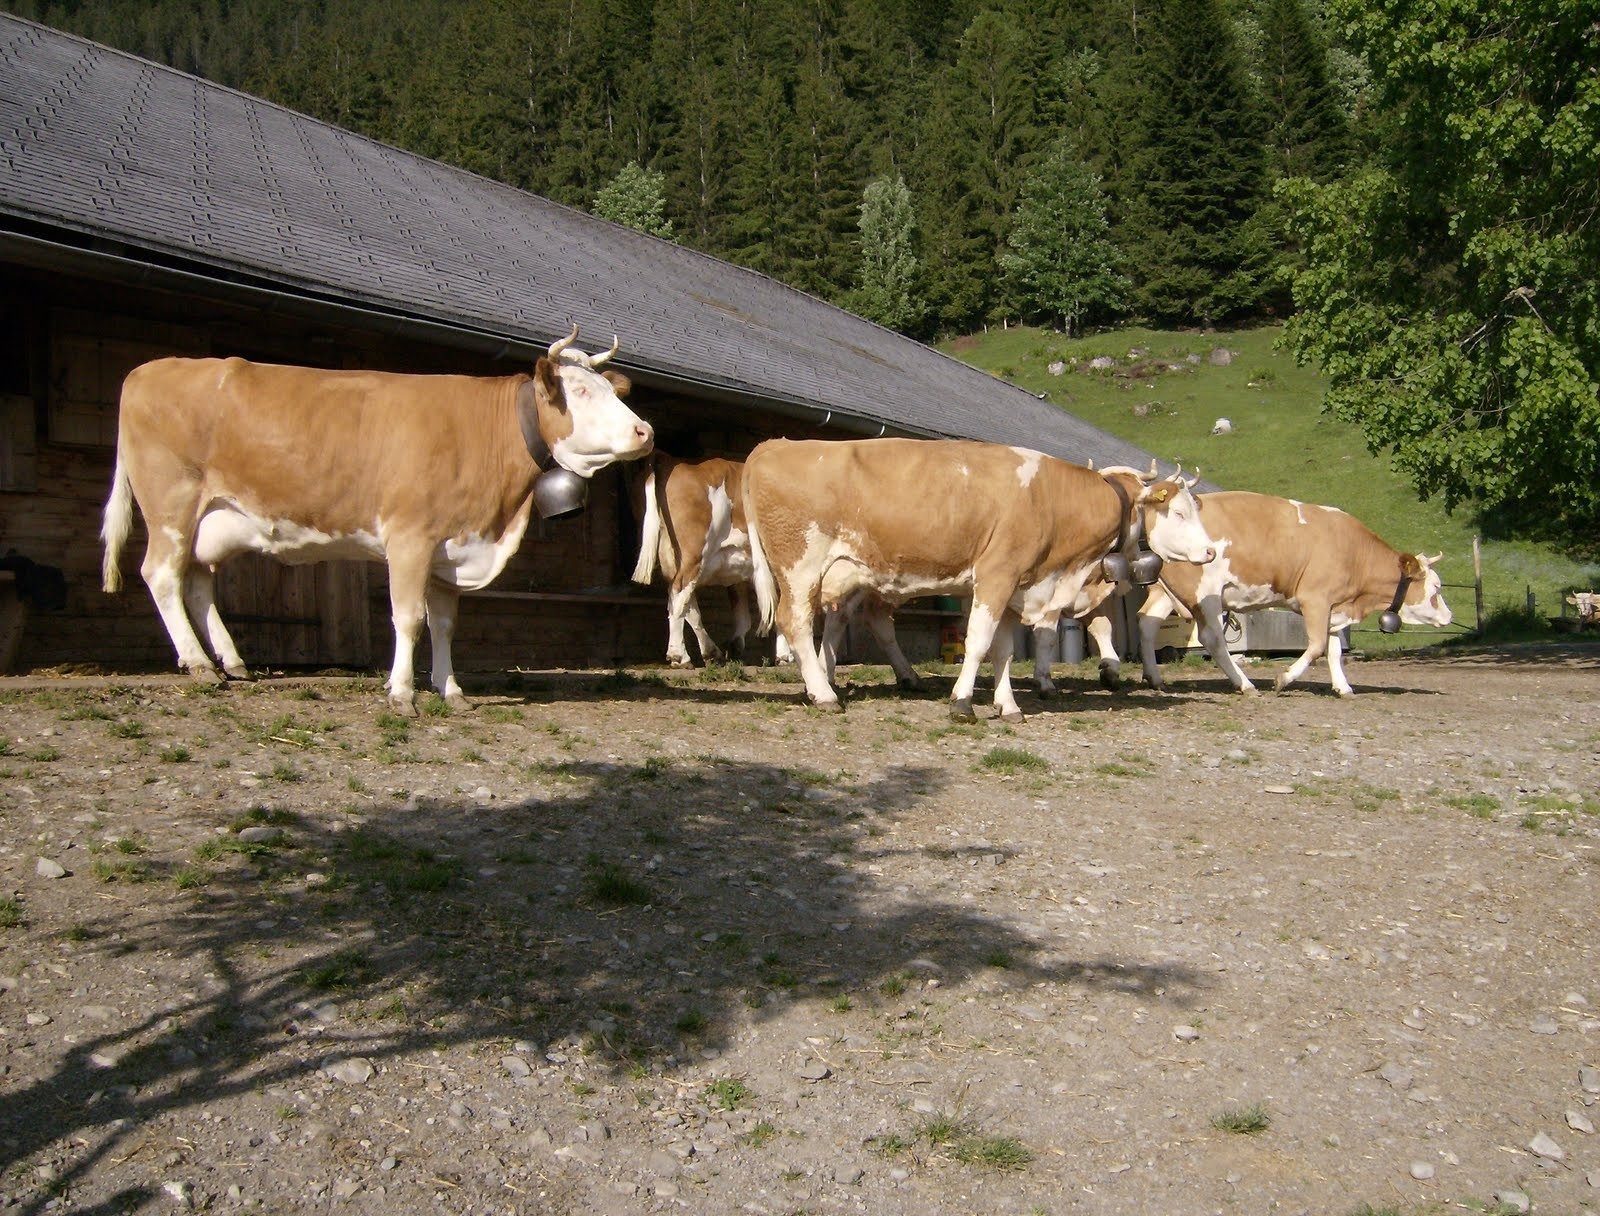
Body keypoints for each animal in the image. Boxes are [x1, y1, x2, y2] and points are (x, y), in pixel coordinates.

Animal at [101, 327, 654, 714]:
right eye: (579, 392)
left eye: (612, 390)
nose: (644, 431)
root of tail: (145, 370)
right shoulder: (410, 537)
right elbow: (408, 618)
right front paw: (402, 693)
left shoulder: (451, 549)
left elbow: (444, 625)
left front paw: (451, 691)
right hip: (171, 504)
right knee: (160, 575)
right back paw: (198, 664)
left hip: (209, 520)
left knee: (197, 582)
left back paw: (231, 662)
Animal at [742, 438, 1216, 721]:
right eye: (1178, 512)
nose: (1211, 552)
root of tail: (774, 445)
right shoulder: (997, 574)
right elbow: (978, 641)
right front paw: (963, 702)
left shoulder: (1016, 584)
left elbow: (1003, 650)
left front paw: (1007, 705)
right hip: (801, 567)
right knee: (797, 623)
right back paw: (823, 693)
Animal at [1134, 491, 1451, 696]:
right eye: (1436, 587)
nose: (1449, 616)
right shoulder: (1315, 599)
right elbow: (1318, 646)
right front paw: (1284, 679)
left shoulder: (1335, 606)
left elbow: (1335, 649)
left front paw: (1343, 687)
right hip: (1205, 593)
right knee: (1212, 638)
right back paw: (1244, 684)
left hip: (1164, 592)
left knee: (1147, 623)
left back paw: (1155, 678)